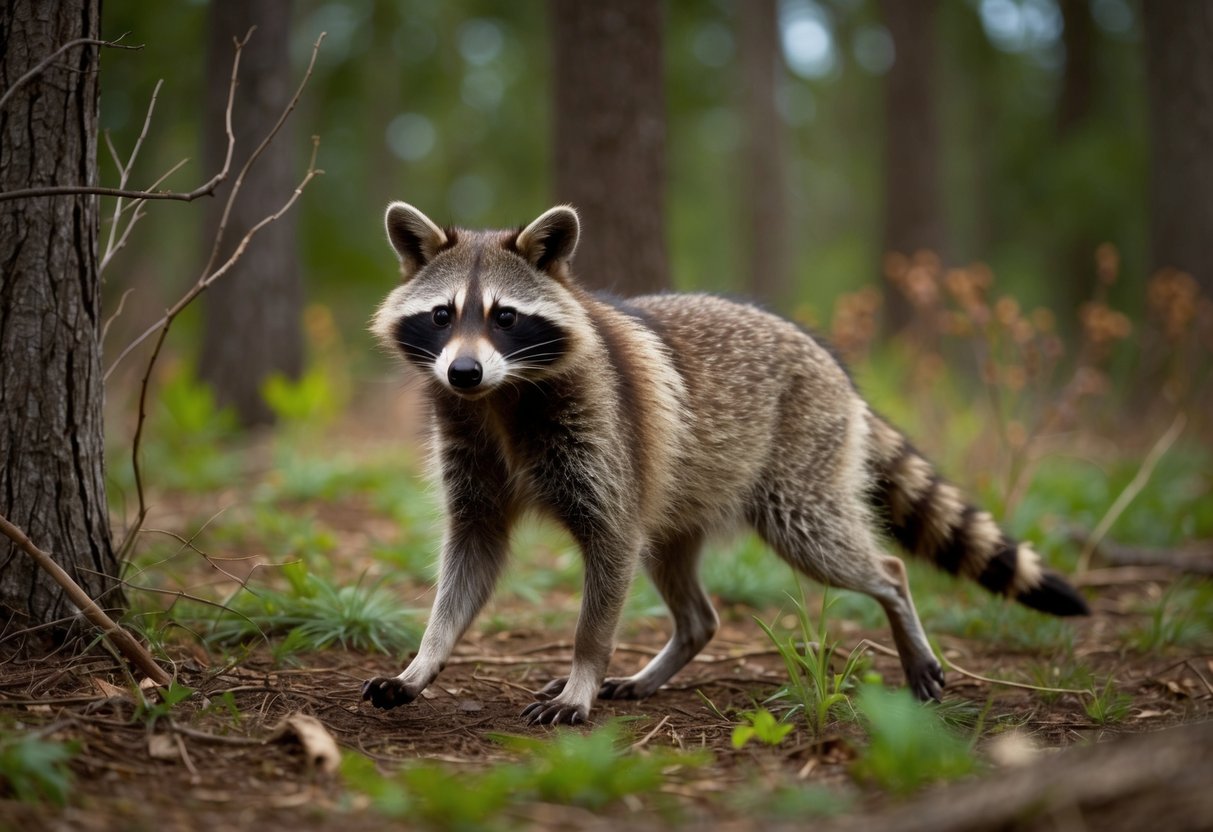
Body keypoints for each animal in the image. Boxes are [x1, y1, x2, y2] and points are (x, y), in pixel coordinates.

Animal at [362, 202, 1089, 725]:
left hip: (797, 467)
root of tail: (834, 368)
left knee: (852, 554)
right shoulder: (474, 453)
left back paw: (894, 597)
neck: (499, 398)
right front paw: (425, 658)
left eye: (505, 317)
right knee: (690, 598)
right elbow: (471, 558)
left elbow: (605, 571)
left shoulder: (604, 441)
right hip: (680, 489)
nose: (462, 371)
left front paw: (583, 672)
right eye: (442, 314)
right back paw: (671, 651)